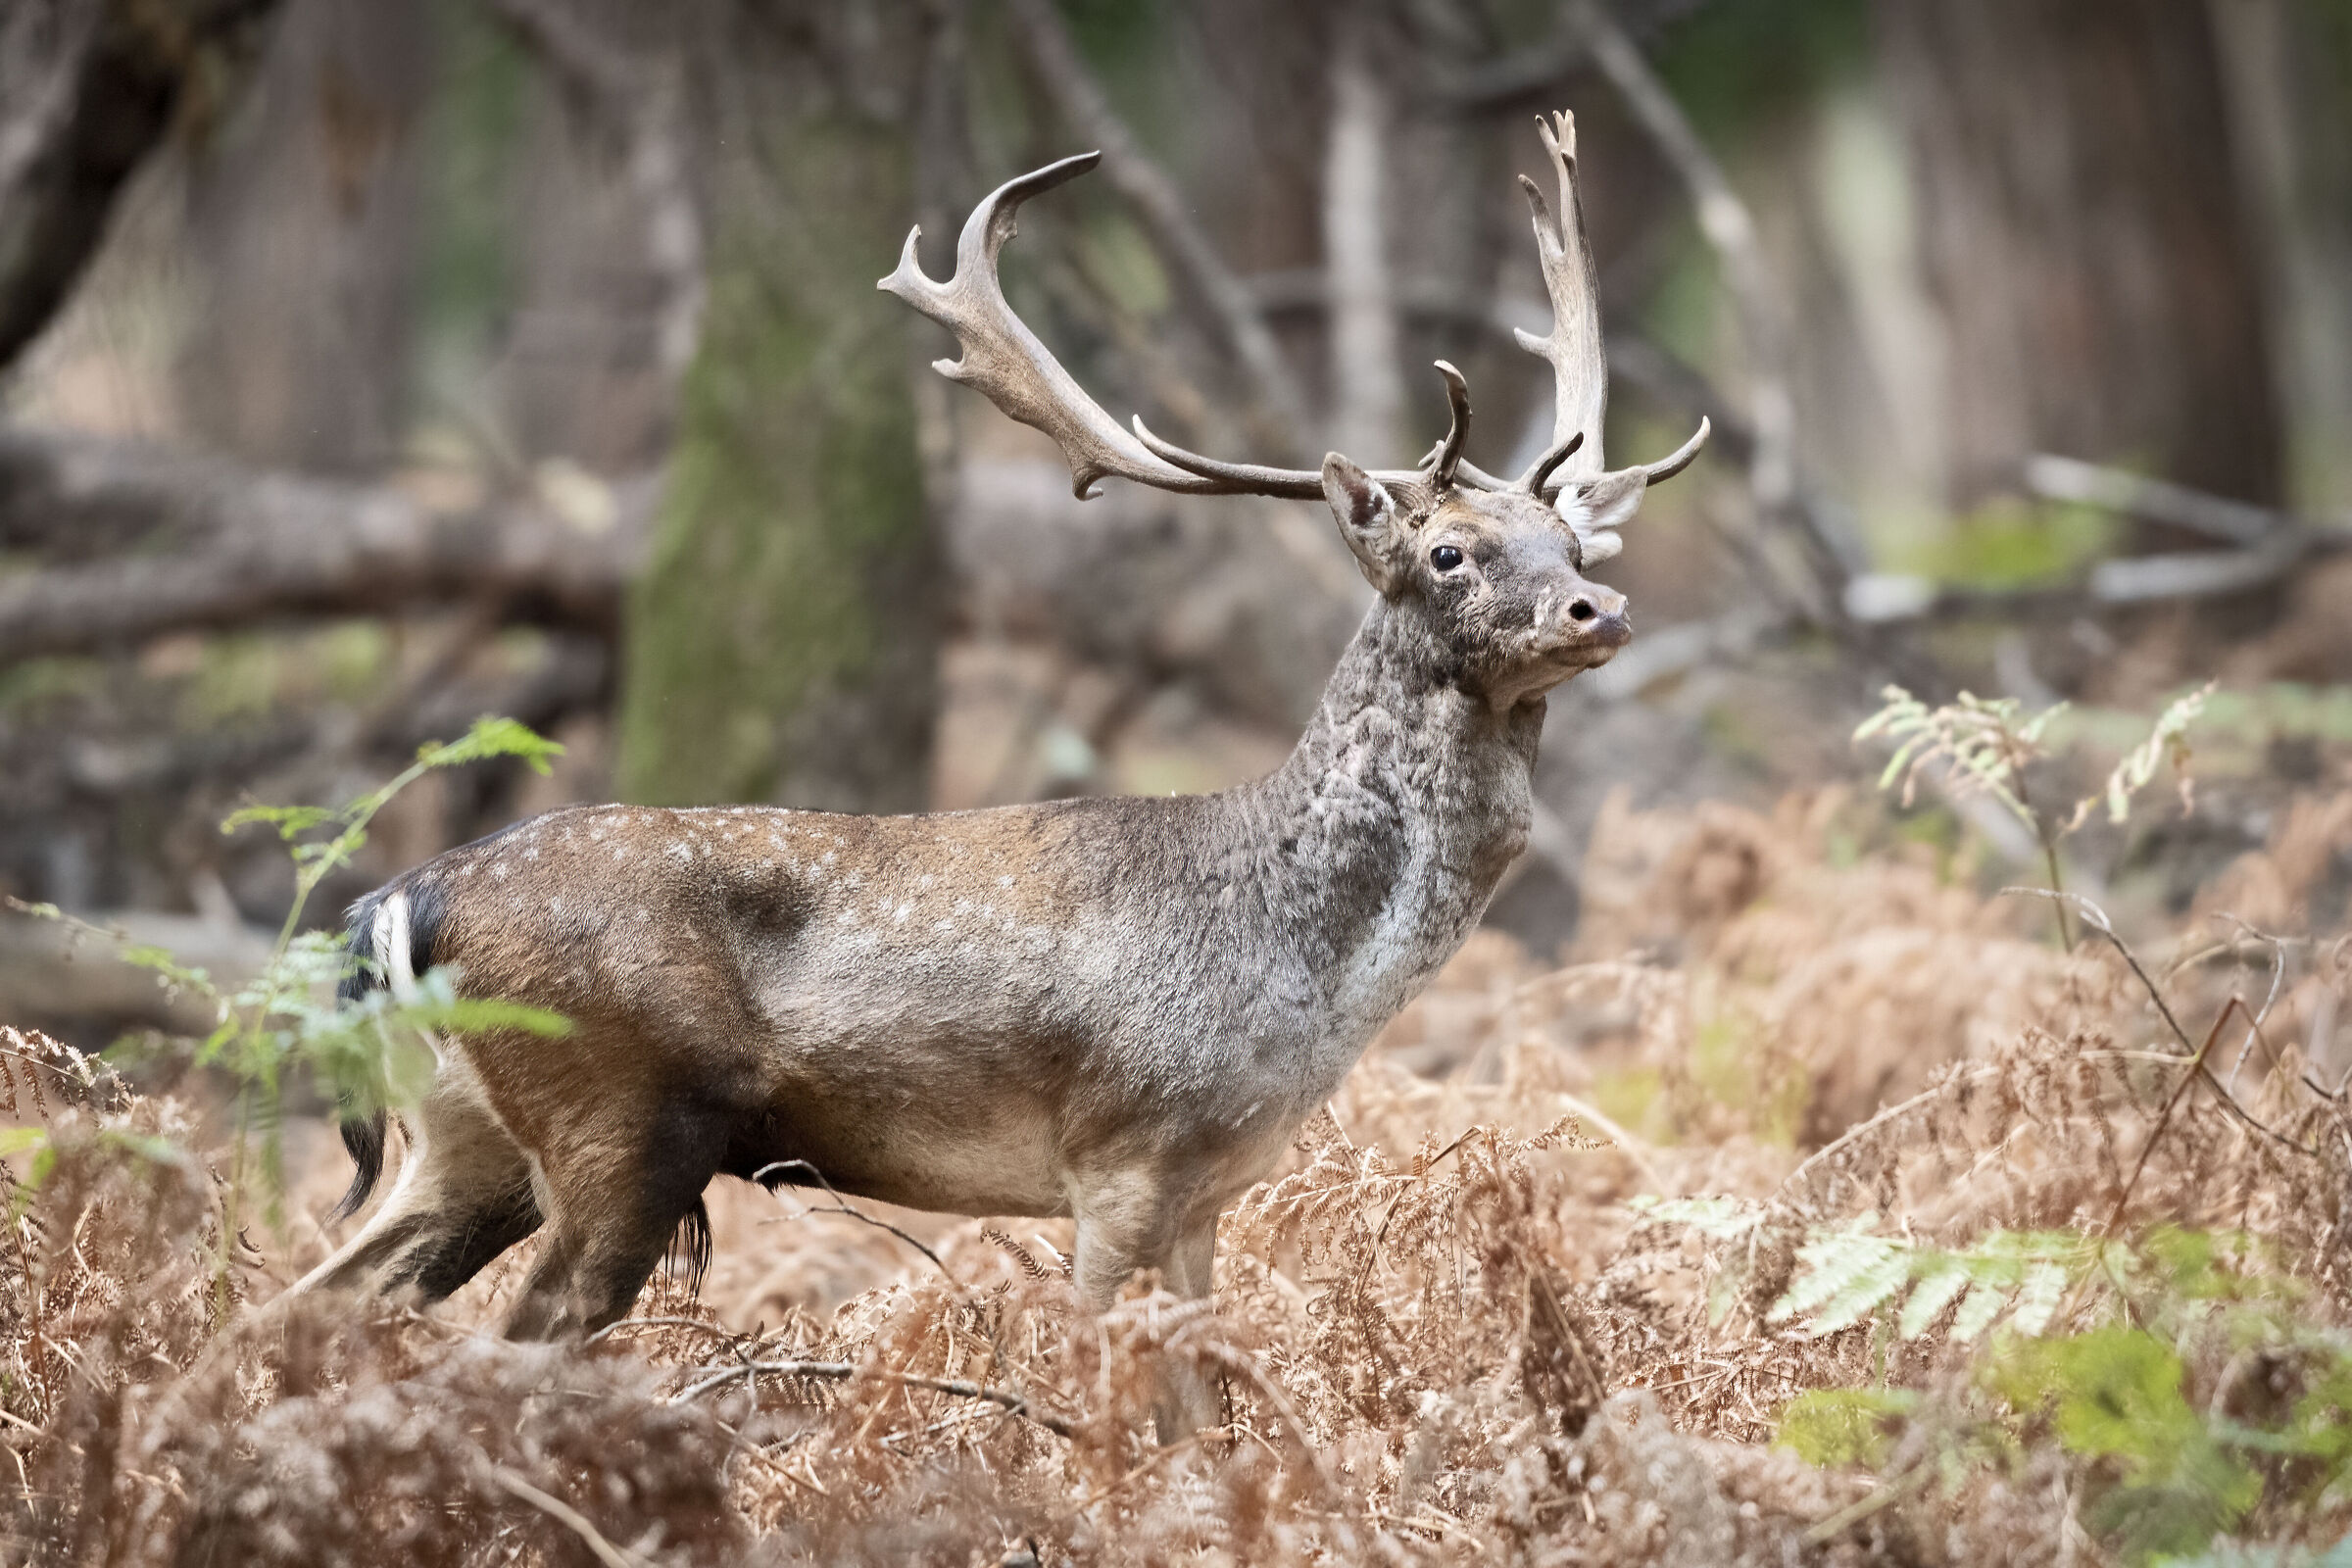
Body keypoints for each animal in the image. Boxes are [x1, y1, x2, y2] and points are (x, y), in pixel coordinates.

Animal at [286, 112, 1704, 1437]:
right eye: (1452, 551)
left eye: (1571, 538)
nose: (1600, 607)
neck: (1307, 972)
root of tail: (399, 902)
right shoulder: (1123, 1157)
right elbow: (1123, 1407)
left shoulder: (1214, 1188)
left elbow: (1212, 1415)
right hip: (620, 1122)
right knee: (493, 1343)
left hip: (464, 1134)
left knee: (313, 1303)